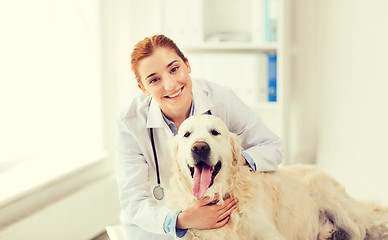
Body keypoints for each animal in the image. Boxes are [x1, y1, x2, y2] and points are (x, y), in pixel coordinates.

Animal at [167, 115, 388, 239]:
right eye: (187, 135)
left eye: (215, 132)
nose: (199, 147)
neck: (219, 195)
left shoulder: (269, 233)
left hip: (344, 209)